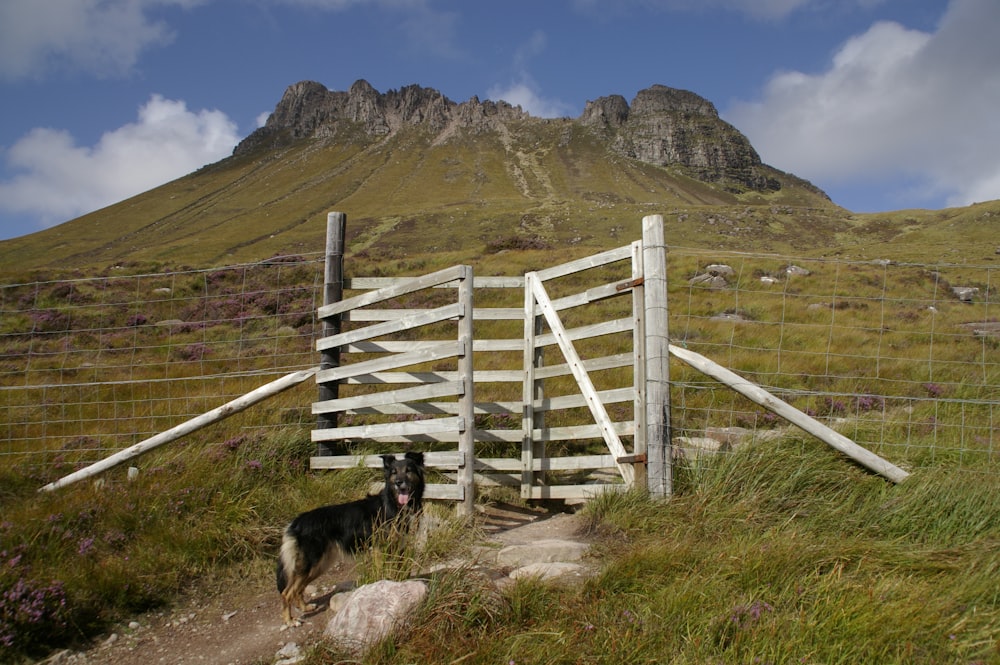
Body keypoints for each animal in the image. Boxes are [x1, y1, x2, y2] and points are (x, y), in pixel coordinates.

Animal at [276, 448, 424, 624]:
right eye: (394, 473)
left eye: (408, 470)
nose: (399, 483)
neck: (393, 505)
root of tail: (297, 521)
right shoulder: (380, 549)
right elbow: (384, 573)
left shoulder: (398, 547)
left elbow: (398, 573)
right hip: (310, 563)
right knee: (287, 592)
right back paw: (289, 620)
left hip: (319, 565)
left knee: (298, 589)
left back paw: (305, 607)